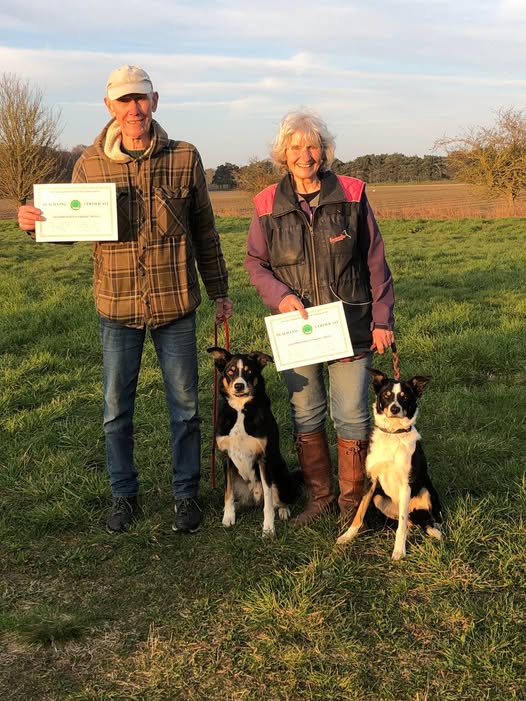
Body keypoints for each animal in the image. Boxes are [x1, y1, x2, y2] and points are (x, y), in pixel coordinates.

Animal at [207, 346, 301, 536]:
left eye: (249, 372)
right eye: (230, 372)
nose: (239, 385)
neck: (240, 409)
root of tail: (255, 497)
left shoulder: (263, 458)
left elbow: (269, 501)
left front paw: (268, 528)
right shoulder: (226, 457)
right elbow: (227, 494)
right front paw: (228, 517)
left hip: (281, 477)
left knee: (279, 500)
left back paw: (283, 510)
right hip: (239, 481)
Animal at [337, 368, 443, 560]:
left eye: (404, 397)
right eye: (386, 396)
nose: (394, 408)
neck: (393, 434)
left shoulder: (406, 484)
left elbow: (401, 526)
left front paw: (399, 551)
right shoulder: (370, 481)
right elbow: (359, 512)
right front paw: (348, 536)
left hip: (425, 490)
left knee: (427, 520)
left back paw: (435, 530)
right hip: (379, 498)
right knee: (411, 523)